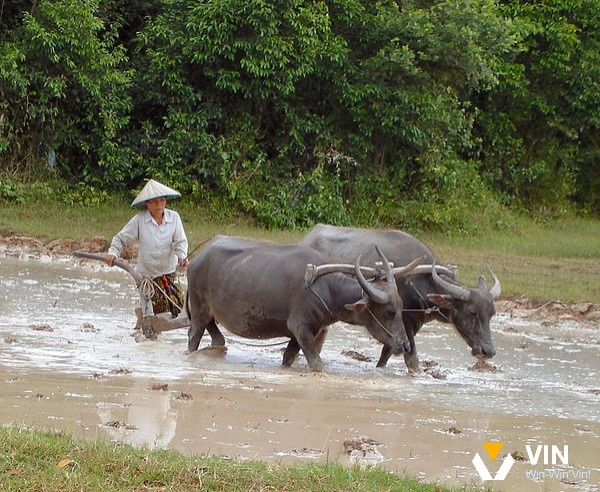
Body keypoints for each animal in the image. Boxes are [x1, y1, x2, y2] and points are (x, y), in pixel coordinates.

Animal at [185, 236, 424, 370]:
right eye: (390, 312)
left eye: (402, 308)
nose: (405, 345)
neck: (323, 286)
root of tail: (195, 261)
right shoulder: (300, 328)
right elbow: (317, 365)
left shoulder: (306, 332)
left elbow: (289, 358)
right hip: (199, 309)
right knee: (193, 335)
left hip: (209, 313)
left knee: (217, 338)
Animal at [300, 224, 502, 372]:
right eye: (472, 312)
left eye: (491, 314)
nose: (489, 351)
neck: (417, 279)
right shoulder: (404, 322)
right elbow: (412, 360)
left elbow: (387, 353)